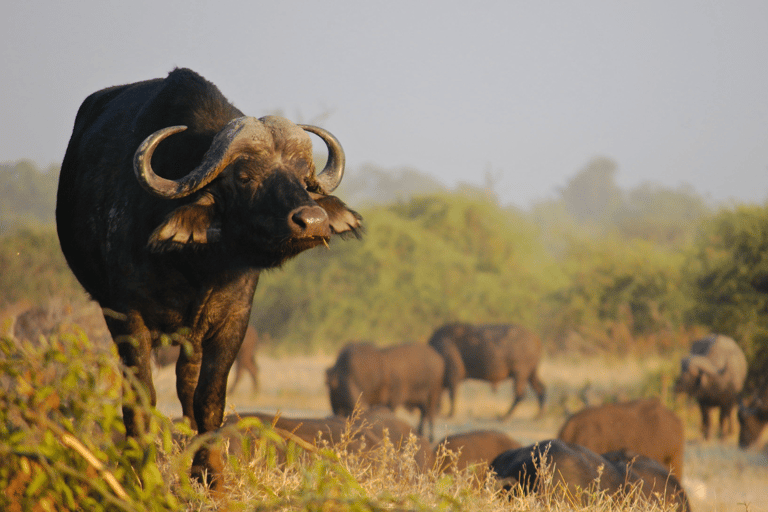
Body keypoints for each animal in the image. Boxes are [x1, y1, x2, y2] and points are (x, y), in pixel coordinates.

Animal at [55, 68, 362, 488]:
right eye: (244, 176)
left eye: (304, 177)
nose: (312, 221)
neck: (196, 267)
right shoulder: (126, 317)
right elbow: (141, 397)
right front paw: (140, 472)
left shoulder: (232, 321)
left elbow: (209, 397)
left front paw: (209, 472)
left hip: (192, 339)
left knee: (187, 385)